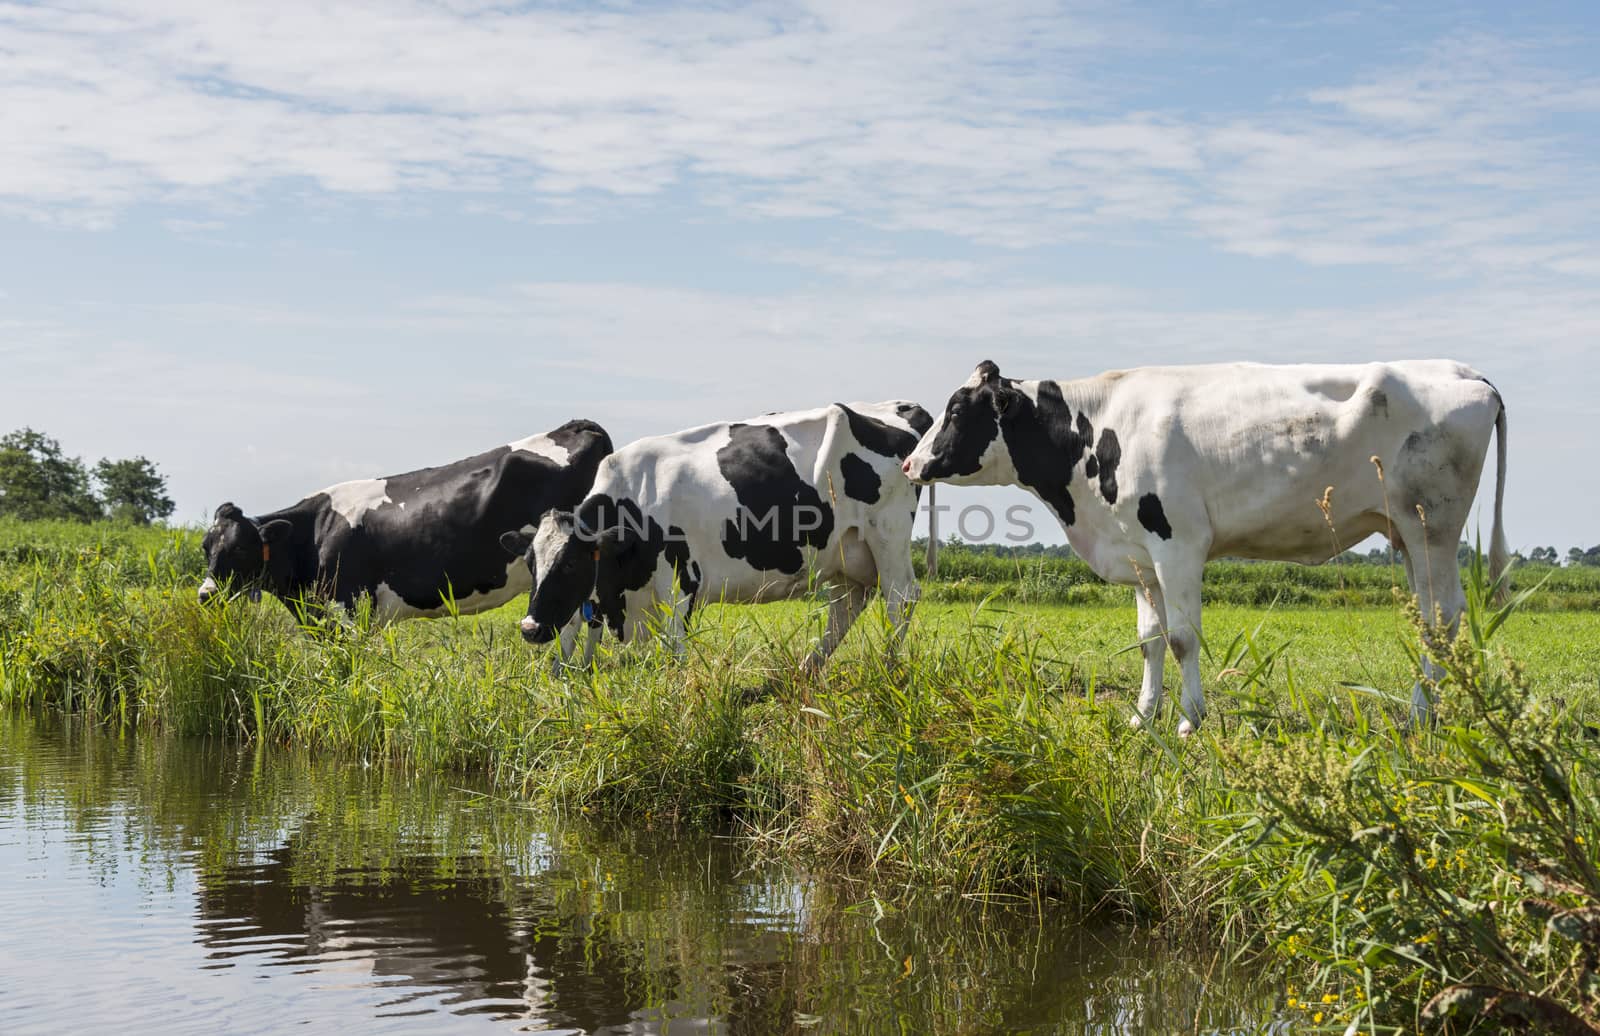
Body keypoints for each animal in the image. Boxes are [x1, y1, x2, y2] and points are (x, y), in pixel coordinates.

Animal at [195, 418, 617, 623]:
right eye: (205, 547)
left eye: (241, 548)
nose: (204, 594)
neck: (316, 533)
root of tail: (578, 424)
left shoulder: (347, 611)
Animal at [502, 396, 934, 671]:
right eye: (531, 564)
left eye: (571, 563)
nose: (529, 628)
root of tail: (902, 406)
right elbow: (571, 638)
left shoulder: (680, 584)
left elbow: (674, 650)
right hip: (846, 552)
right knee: (845, 608)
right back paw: (806, 670)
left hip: (888, 532)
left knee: (900, 598)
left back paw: (887, 669)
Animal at [908, 359, 1504, 732]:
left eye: (957, 412)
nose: (912, 463)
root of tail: (1464, 372)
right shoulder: (1139, 554)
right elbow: (1148, 640)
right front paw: (1142, 716)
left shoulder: (1178, 545)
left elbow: (1181, 639)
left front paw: (1189, 719)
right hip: (1405, 532)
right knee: (1430, 616)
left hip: (1432, 528)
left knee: (1443, 618)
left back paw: (1422, 715)